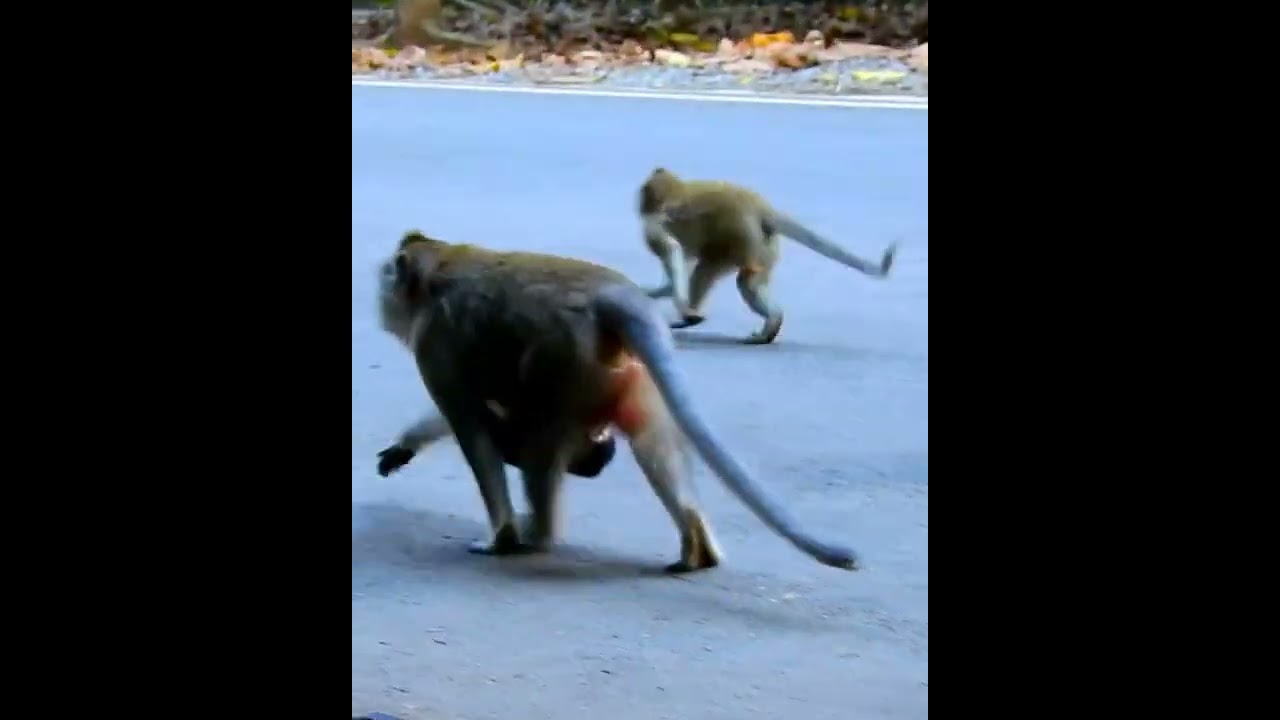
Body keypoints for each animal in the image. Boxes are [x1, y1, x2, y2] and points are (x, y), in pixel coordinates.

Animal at [376, 229, 859, 572]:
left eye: (388, 276)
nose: (382, 296)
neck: (441, 265)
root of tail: (612, 297)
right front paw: (405, 444)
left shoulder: (434, 344)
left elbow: (468, 424)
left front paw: (502, 537)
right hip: (630, 375)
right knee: (651, 442)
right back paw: (696, 549)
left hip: (566, 364)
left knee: (537, 442)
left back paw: (538, 536)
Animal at [638, 166, 898, 344]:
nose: (640, 204)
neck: (674, 190)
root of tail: (762, 209)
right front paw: (654, 293)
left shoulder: (654, 226)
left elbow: (673, 252)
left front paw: (679, 305)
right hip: (764, 244)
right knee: (749, 281)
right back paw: (772, 324)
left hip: (738, 238)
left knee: (710, 271)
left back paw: (691, 316)